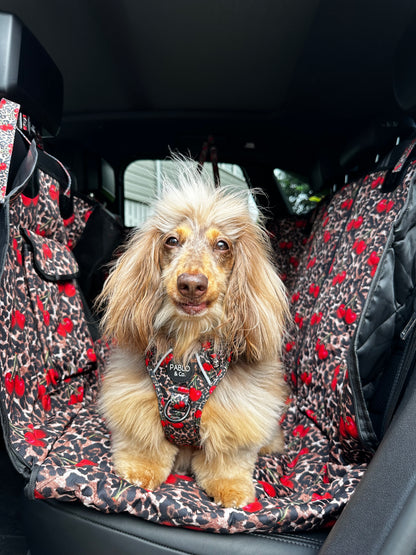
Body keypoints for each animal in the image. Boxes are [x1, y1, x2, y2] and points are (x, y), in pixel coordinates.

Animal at [98, 160, 288, 508]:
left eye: (222, 244)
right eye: (172, 241)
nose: (191, 284)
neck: (188, 343)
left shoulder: (240, 411)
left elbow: (228, 457)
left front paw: (231, 488)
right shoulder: (134, 399)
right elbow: (144, 440)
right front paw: (140, 470)